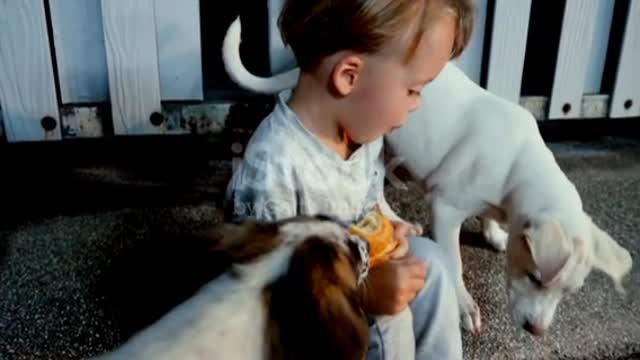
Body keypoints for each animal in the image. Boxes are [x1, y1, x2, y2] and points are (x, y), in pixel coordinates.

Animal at [222, 17, 632, 338]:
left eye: (567, 293)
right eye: (535, 278)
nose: (537, 331)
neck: (519, 166)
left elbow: (490, 218)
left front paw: (495, 234)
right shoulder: (446, 209)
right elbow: (454, 262)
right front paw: (465, 306)